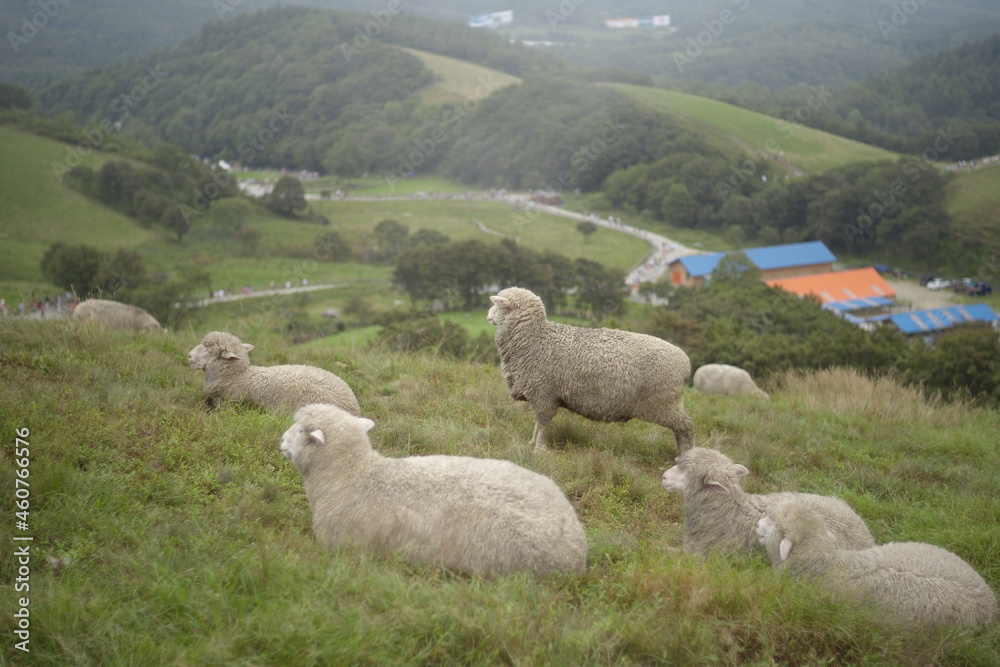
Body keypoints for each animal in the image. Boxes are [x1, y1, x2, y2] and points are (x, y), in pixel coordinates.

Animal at [487, 286, 694, 454]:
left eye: (497, 304)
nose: (488, 316)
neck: (535, 339)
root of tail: (685, 362)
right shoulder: (542, 396)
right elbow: (538, 422)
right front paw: (532, 442)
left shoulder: (544, 394)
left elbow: (543, 424)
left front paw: (539, 448)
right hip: (668, 403)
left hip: (662, 403)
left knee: (686, 425)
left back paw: (685, 456)